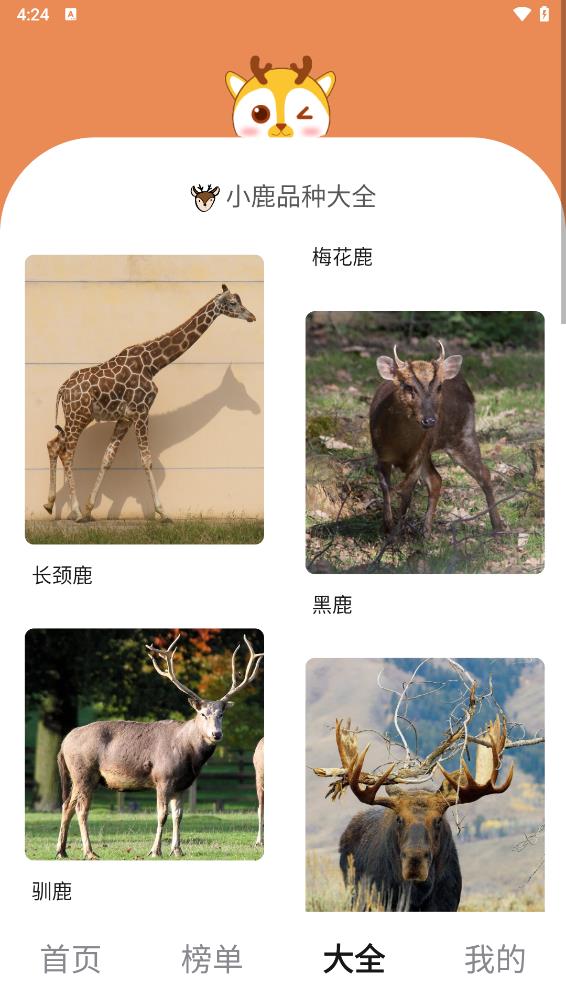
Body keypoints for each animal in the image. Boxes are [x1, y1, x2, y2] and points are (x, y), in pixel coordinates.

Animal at [55, 634, 263, 860]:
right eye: (202, 714)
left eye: (221, 714)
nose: (216, 734)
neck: (189, 756)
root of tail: (64, 742)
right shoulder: (163, 778)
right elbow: (162, 814)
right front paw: (155, 850)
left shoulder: (182, 784)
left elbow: (179, 815)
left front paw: (177, 849)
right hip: (84, 772)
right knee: (81, 809)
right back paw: (89, 851)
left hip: (77, 777)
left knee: (67, 805)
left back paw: (62, 850)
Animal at [370, 341, 504, 536]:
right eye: (408, 386)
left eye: (439, 386)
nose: (430, 420)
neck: (401, 447)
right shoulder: (379, 453)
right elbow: (385, 488)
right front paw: (386, 526)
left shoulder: (417, 458)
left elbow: (406, 494)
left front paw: (395, 535)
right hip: (432, 449)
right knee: (436, 479)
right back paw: (426, 533)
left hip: (463, 434)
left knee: (484, 474)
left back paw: (498, 527)